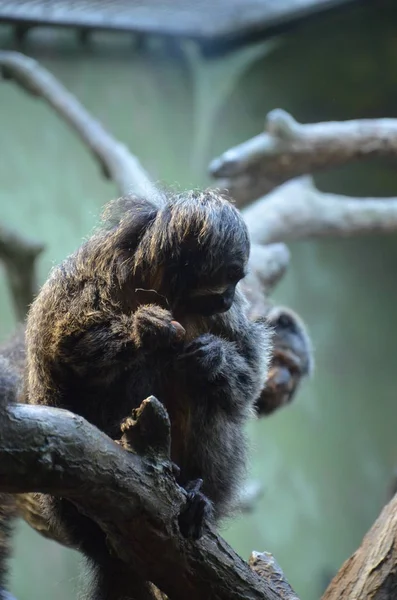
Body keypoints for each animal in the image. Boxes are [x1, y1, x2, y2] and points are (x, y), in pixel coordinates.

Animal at [10, 190, 270, 596]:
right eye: (228, 277)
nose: (229, 298)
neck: (162, 289)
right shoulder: (88, 278)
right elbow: (65, 346)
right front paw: (146, 329)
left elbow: (249, 371)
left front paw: (212, 356)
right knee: (137, 367)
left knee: (208, 394)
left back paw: (197, 491)